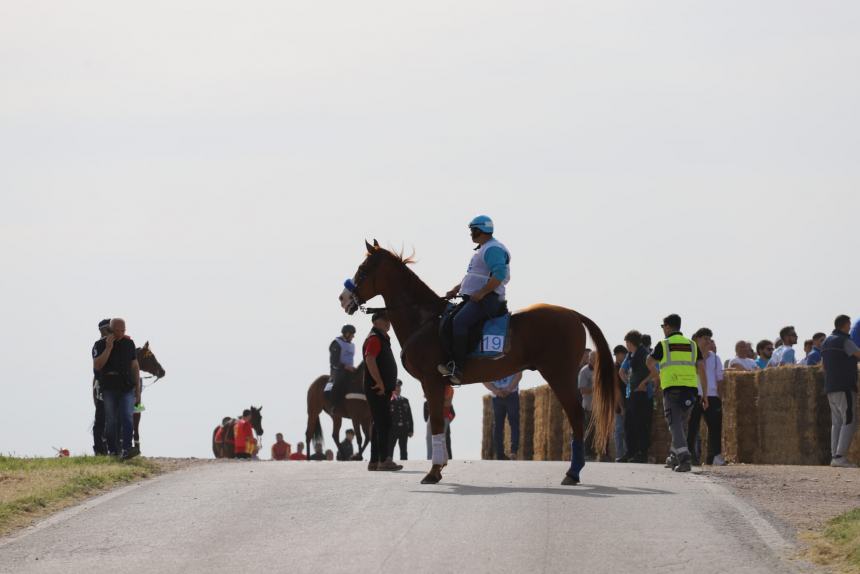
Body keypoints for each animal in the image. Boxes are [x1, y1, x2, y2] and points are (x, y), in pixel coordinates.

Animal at [338, 242, 620, 486]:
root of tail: (573, 314)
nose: (343, 299)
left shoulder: (431, 381)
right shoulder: (440, 384)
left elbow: (438, 423)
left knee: (576, 417)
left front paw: (434, 471)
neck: (424, 320)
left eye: (363, 270)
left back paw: (573, 472)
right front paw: (440, 466)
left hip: (559, 375)